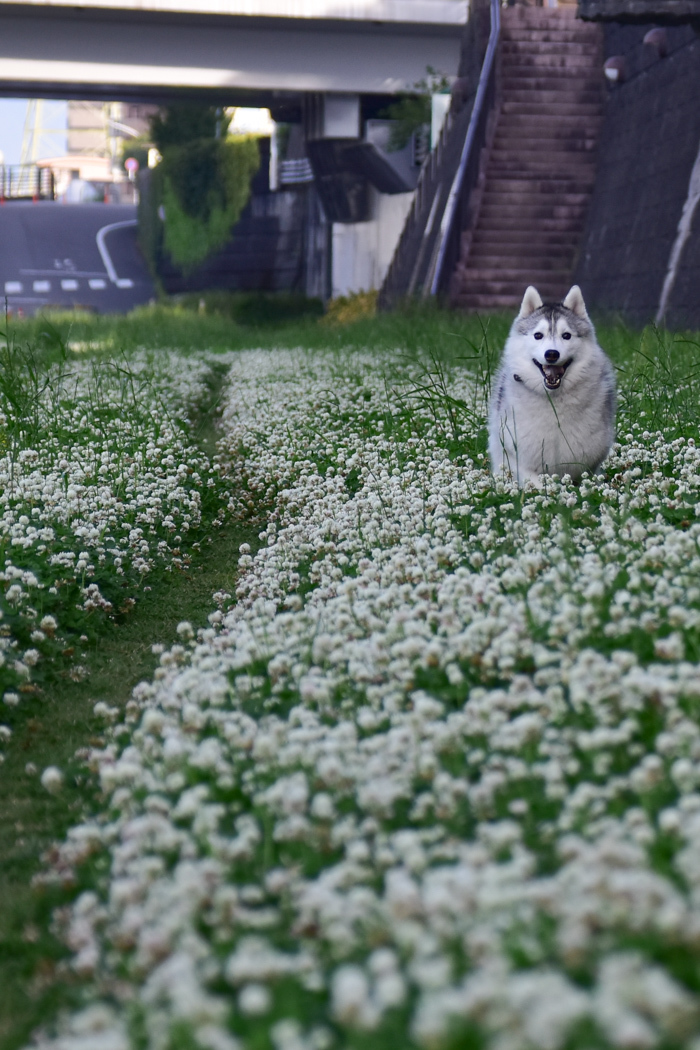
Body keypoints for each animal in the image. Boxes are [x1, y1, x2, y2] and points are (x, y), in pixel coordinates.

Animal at [491, 285, 617, 485]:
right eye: (538, 335)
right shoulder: (517, 455)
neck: (553, 400)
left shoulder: (589, 461)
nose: (551, 354)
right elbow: (534, 481)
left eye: (566, 335)